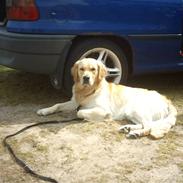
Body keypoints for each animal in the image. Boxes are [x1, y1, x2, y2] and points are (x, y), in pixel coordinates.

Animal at [36, 58, 176, 139]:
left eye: (93, 69)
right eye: (81, 69)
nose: (86, 78)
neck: (88, 91)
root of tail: (165, 98)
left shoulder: (103, 109)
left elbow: (80, 112)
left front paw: (92, 118)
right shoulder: (74, 102)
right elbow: (57, 105)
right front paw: (44, 110)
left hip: (136, 108)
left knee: (149, 126)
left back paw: (136, 133)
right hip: (130, 112)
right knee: (145, 124)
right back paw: (128, 128)